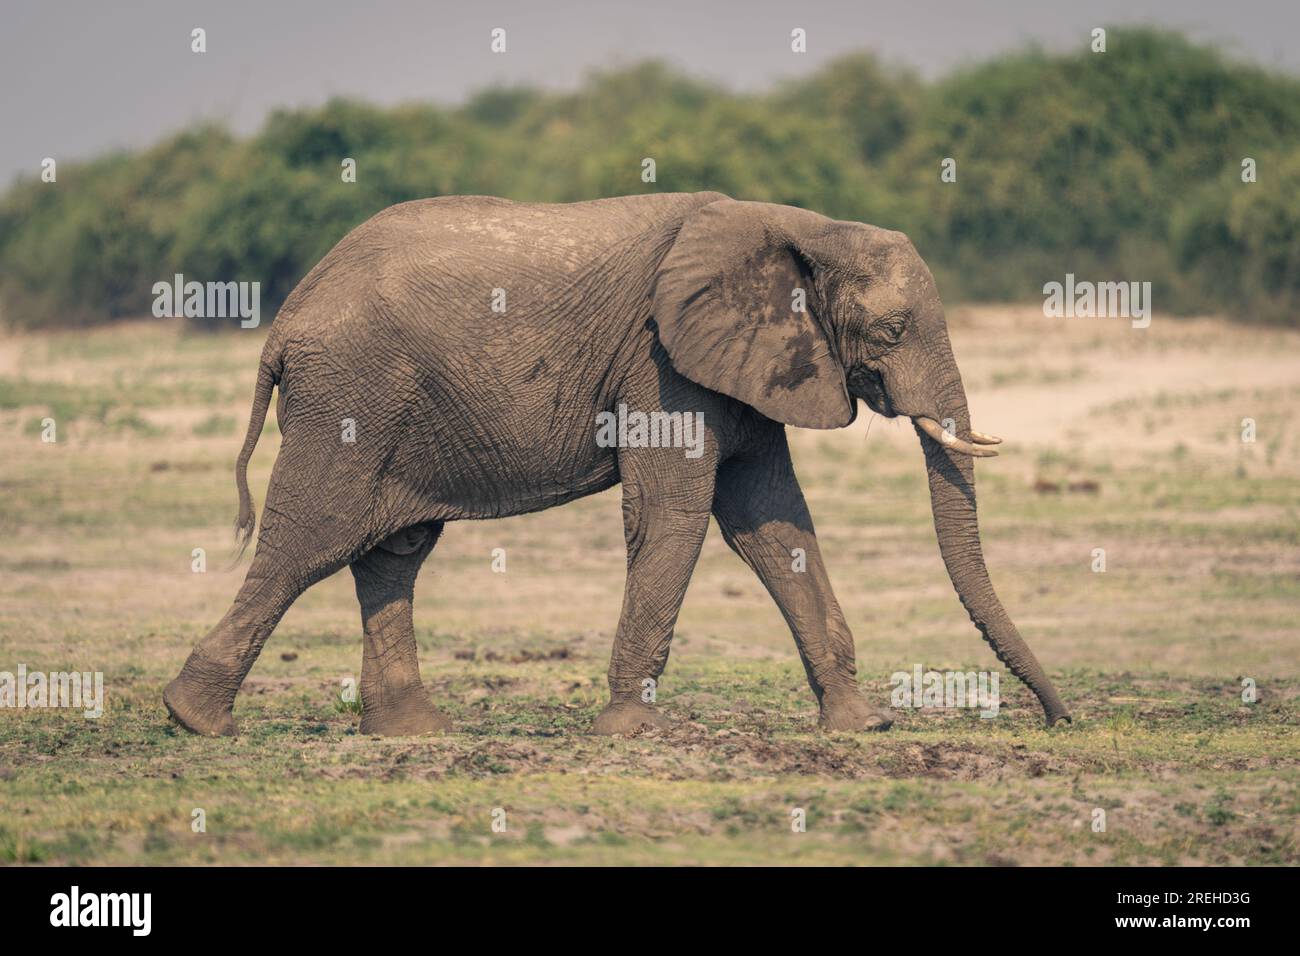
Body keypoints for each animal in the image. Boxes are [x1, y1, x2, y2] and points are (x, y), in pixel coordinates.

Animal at [163, 192, 1071, 738]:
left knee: (393, 553)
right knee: (312, 539)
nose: (1058, 718)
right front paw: (631, 731)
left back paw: (414, 732)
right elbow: (676, 514)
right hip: (350, 396)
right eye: (888, 333)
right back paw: (194, 720)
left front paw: (859, 726)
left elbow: (773, 523)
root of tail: (285, 322)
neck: (796, 223)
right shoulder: (663, 363)